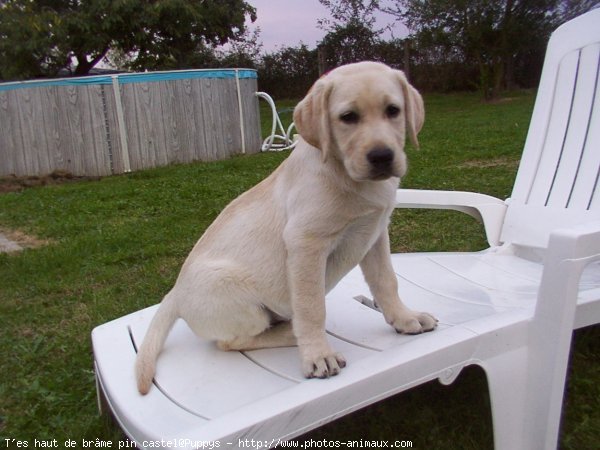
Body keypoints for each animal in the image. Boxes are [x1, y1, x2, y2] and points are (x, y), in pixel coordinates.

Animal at [135, 60, 436, 394]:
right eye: (348, 117)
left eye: (393, 110)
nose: (382, 156)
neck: (344, 173)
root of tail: (174, 293)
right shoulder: (306, 243)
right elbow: (311, 306)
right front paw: (317, 355)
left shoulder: (374, 233)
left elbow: (386, 281)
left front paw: (404, 318)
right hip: (241, 302)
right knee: (233, 341)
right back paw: (291, 333)